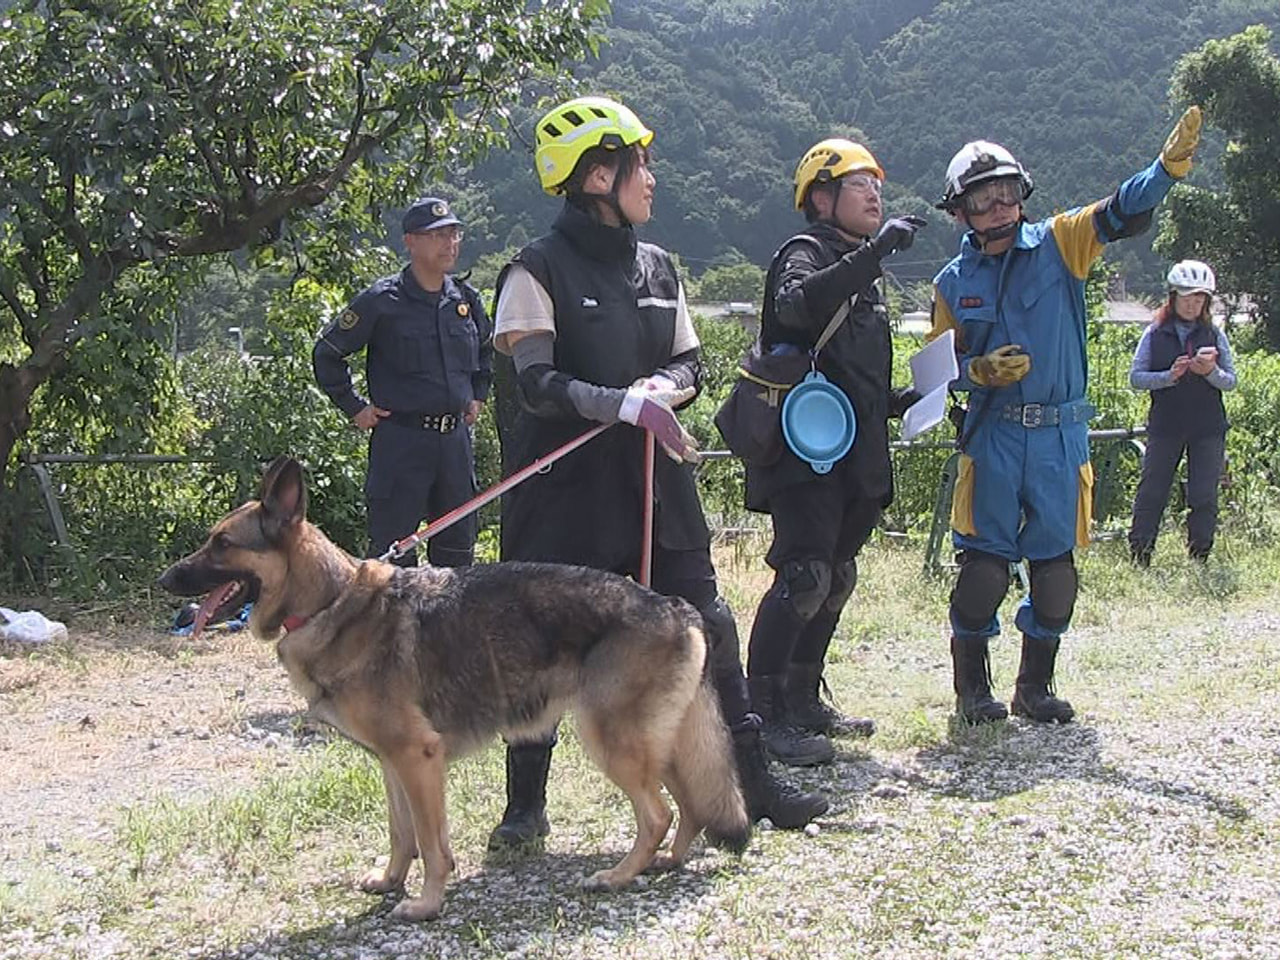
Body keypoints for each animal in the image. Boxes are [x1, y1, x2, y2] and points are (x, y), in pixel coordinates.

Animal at [157, 458, 747, 926]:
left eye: (222, 544)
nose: (165, 580)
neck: (330, 601)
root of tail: (673, 604)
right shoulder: (392, 763)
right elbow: (401, 834)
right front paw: (391, 881)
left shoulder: (418, 760)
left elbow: (430, 841)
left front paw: (426, 904)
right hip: (657, 744)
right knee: (691, 803)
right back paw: (669, 860)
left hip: (613, 743)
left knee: (659, 814)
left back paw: (620, 874)